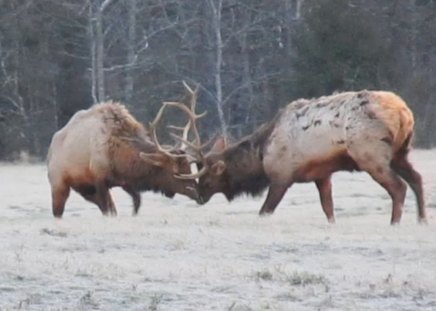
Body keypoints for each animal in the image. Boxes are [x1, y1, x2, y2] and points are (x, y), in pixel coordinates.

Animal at [46, 100, 201, 219]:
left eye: (188, 167)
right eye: (176, 172)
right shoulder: (99, 179)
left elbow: (136, 202)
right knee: (57, 211)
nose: (198, 194)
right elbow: (109, 210)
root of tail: (50, 149)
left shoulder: (124, 182)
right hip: (59, 184)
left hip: (85, 189)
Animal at [188, 89, 426, 224]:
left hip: (371, 155)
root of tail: (404, 113)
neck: (261, 154)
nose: (198, 197)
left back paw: (394, 223)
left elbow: (264, 211)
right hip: (401, 152)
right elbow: (328, 209)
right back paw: (422, 220)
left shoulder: (281, 176)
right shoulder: (322, 174)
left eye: (207, 179)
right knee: (417, 179)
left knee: (398, 187)